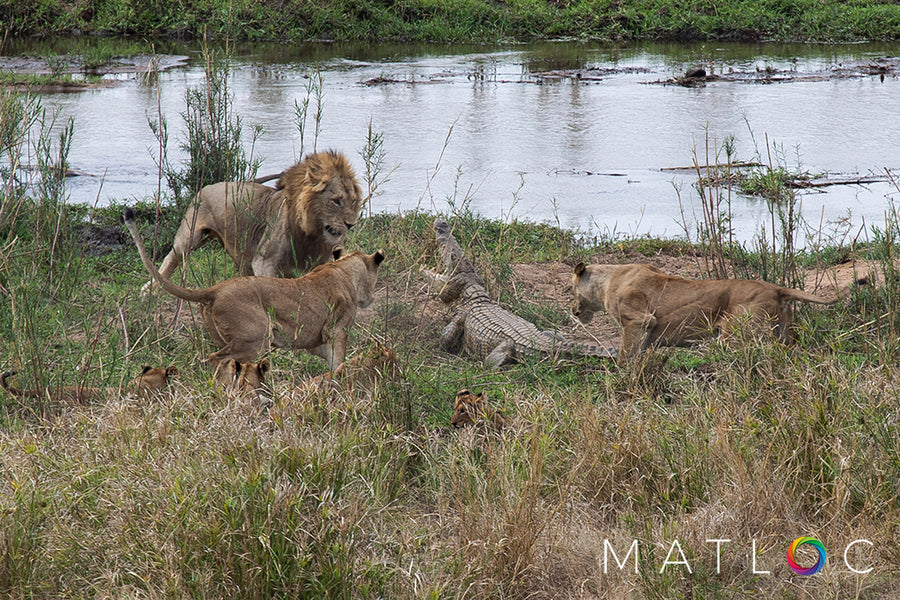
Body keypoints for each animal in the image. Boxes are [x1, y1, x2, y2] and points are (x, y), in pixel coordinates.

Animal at [124, 209, 384, 368]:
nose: (371, 298)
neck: (344, 269)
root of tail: (215, 289)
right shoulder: (336, 330)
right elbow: (339, 362)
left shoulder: (316, 341)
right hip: (255, 338)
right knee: (216, 359)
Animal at [144, 150, 362, 296]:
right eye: (336, 201)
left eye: (353, 201)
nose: (351, 224)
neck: (311, 233)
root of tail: (208, 185)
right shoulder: (264, 261)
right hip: (191, 235)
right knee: (172, 257)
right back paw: (151, 289)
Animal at [568, 260, 836, 358]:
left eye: (570, 289)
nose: (573, 311)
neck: (607, 281)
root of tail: (776, 288)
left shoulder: (639, 320)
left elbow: (625, 354)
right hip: (785, 333)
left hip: (736, 334)